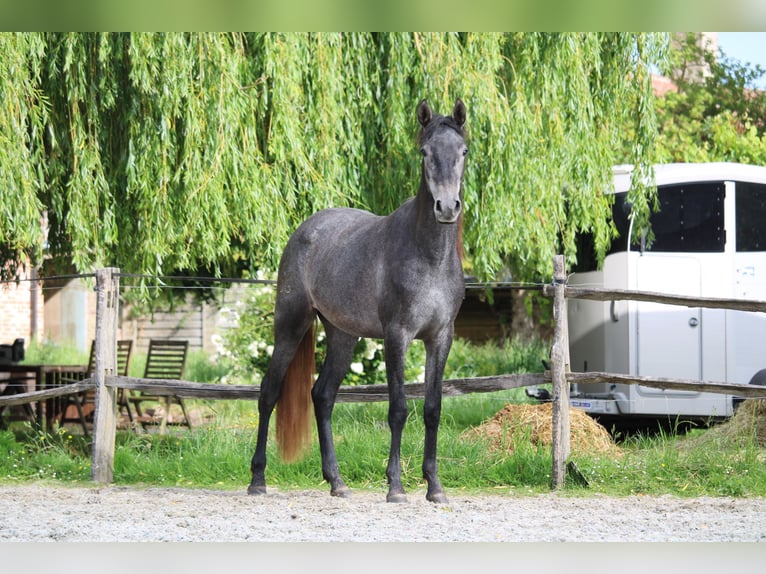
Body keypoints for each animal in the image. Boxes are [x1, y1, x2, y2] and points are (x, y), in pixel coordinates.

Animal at [248, 98, 468, 503]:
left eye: (462, 151)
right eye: (424, 152)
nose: (447, 207)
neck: (428, 255)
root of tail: (306, 229)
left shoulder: (440, 337)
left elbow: (433, 409)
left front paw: (435, 488)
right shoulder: (397, 336)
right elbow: (398, 409)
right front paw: (395, 487)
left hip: (342, 335)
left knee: (322, 396)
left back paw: (337, 482)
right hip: (290, 325)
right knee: (268, 392)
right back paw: (258, 480)